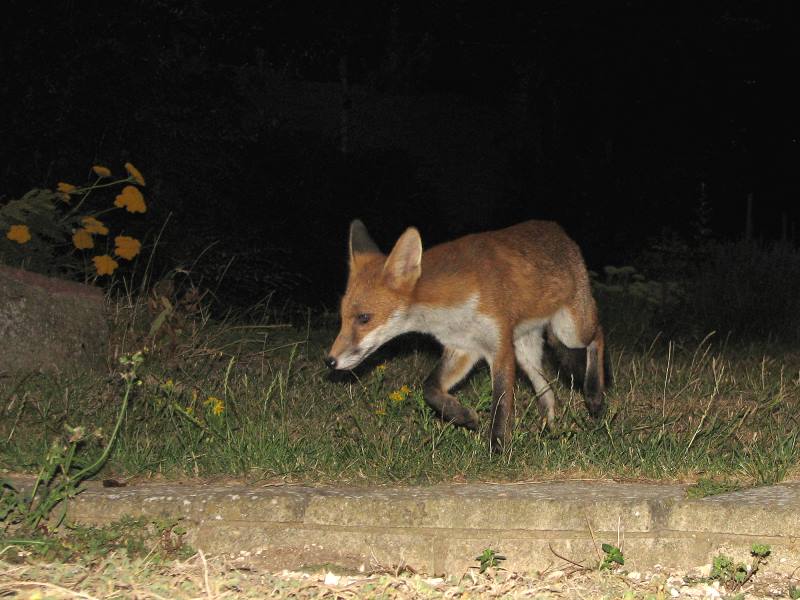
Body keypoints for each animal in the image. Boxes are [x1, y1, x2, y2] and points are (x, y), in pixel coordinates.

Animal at [324, 220, 608, 450]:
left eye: (364, 318)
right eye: (342, 318)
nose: (330, 361)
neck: (449, 312)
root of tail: (559, 231)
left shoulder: (499, 347)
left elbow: (500, 406)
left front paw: (498, 451)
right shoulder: (463, 349)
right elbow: (430, 388)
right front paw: (463, 416)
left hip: (570, 330)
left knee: (598, 336)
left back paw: (594, 395)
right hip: (526, 352)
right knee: (548, 392)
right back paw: (550, 432)